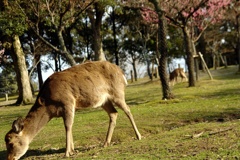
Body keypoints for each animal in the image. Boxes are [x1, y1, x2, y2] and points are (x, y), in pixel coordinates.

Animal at [4, 60, 142, 159]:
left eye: (11, 143)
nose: (10, 158)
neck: (48, 105)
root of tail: (122, 73)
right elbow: (68, 126)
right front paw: (72, 149)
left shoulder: (68, 102)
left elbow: (68, 125)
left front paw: (67, 152)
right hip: (104, 101)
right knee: (114, 113)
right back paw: (105, 143)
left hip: (117, 93)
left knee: (128, 110)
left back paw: (139, 136)